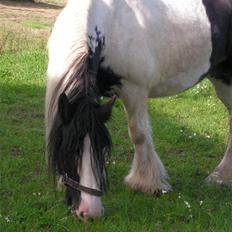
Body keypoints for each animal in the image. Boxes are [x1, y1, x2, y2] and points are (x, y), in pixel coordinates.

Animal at [45, 0, 232, 221]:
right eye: (68, 149)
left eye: (104, 149)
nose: (90, 212)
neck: (109, 25)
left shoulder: (133, 90)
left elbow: (139, 135)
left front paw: (146, 183)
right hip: (221, 80)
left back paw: (221, 176)